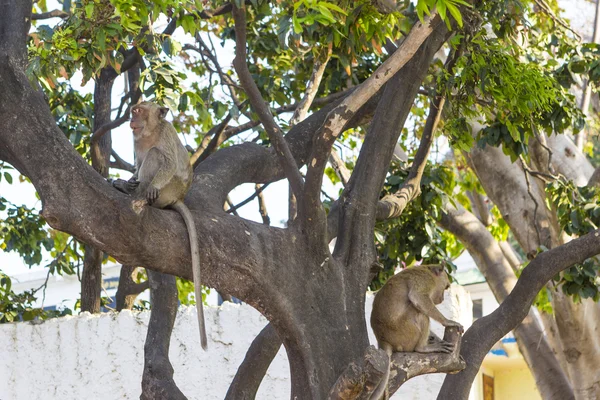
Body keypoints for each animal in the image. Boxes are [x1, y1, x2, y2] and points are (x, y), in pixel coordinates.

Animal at [112, 102, 209, 350]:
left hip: (168, 190)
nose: (131, 118)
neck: (150, 132)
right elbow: (137, 166)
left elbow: (168, 162)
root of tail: (177, 197)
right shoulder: (136, 141)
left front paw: (144, 186)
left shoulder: (165, 134)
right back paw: (126, 187)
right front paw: (128, 180)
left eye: (139, 111)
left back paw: (139, 194)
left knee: (156, 156)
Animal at [368, 266, 462, 400]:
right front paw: (447, 321)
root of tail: (382, 340)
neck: (429, 271)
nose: (443, 298)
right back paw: (422, 348)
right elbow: (418, 298)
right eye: (446, 287)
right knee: (419, 312)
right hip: (405, 333)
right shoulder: (425, 280)